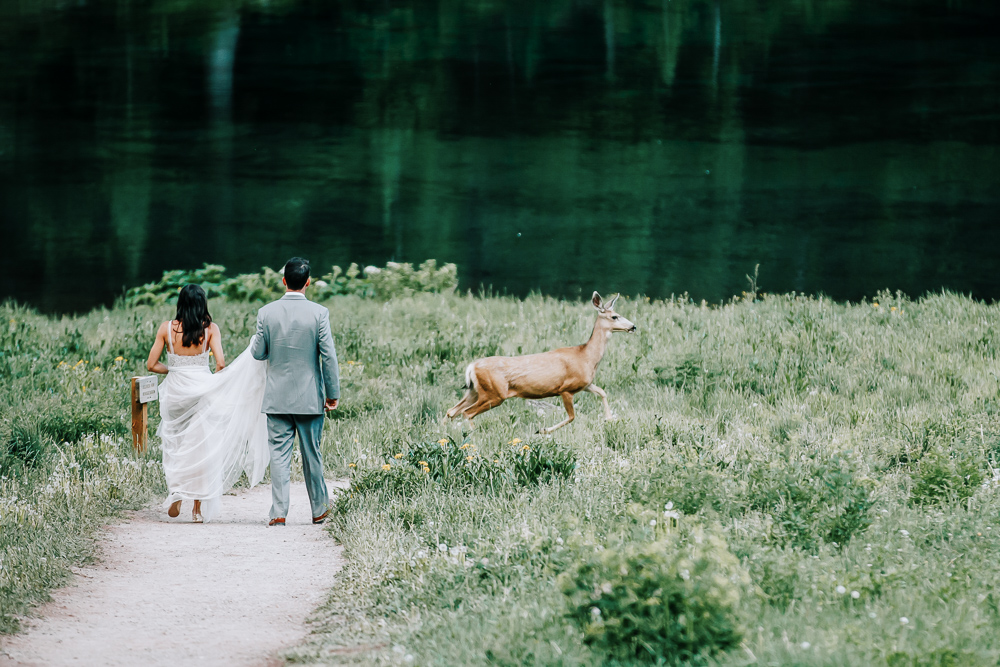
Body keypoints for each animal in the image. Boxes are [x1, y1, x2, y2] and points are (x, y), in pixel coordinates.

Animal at [448, 292, 636, 434]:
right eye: (615, 316)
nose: (633, 326)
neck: (586, 356)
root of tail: (471, 367)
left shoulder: (585, 384)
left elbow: (603, 392)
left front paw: (609, 419)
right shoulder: (565, 388)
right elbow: (572, 417)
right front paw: (542, 430)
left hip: (475, 391)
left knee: (452, 411)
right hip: (494, 393)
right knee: (466, 413)